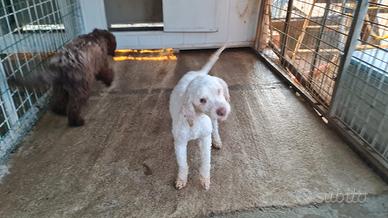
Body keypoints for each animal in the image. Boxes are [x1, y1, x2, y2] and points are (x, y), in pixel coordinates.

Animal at [170, 46, 230, 190]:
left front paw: (205, 179)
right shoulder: (180, 143)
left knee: (215, 128)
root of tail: (198, 72)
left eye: (219, 90)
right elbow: (182, 164)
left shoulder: (205, 138)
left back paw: (217, 140)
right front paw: (181, 179)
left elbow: (206, 161)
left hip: (212, 120)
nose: (223, 111)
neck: (196, 119)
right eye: (202, 100)